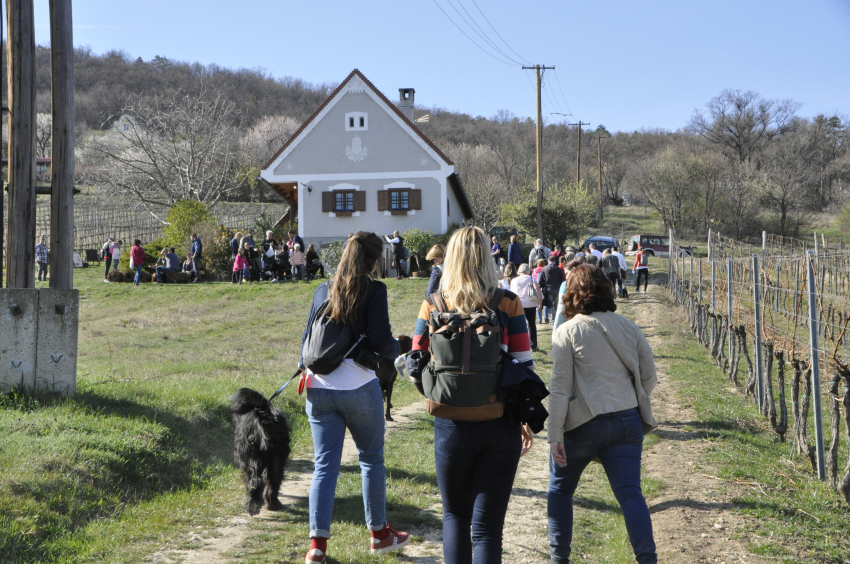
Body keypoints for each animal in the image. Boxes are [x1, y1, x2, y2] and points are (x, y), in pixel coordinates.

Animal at [230, 388, 290, 516]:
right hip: (274, 458)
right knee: (271, 480)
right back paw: (267, 505)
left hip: (254, 456)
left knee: (257, 481)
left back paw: (258, 505)